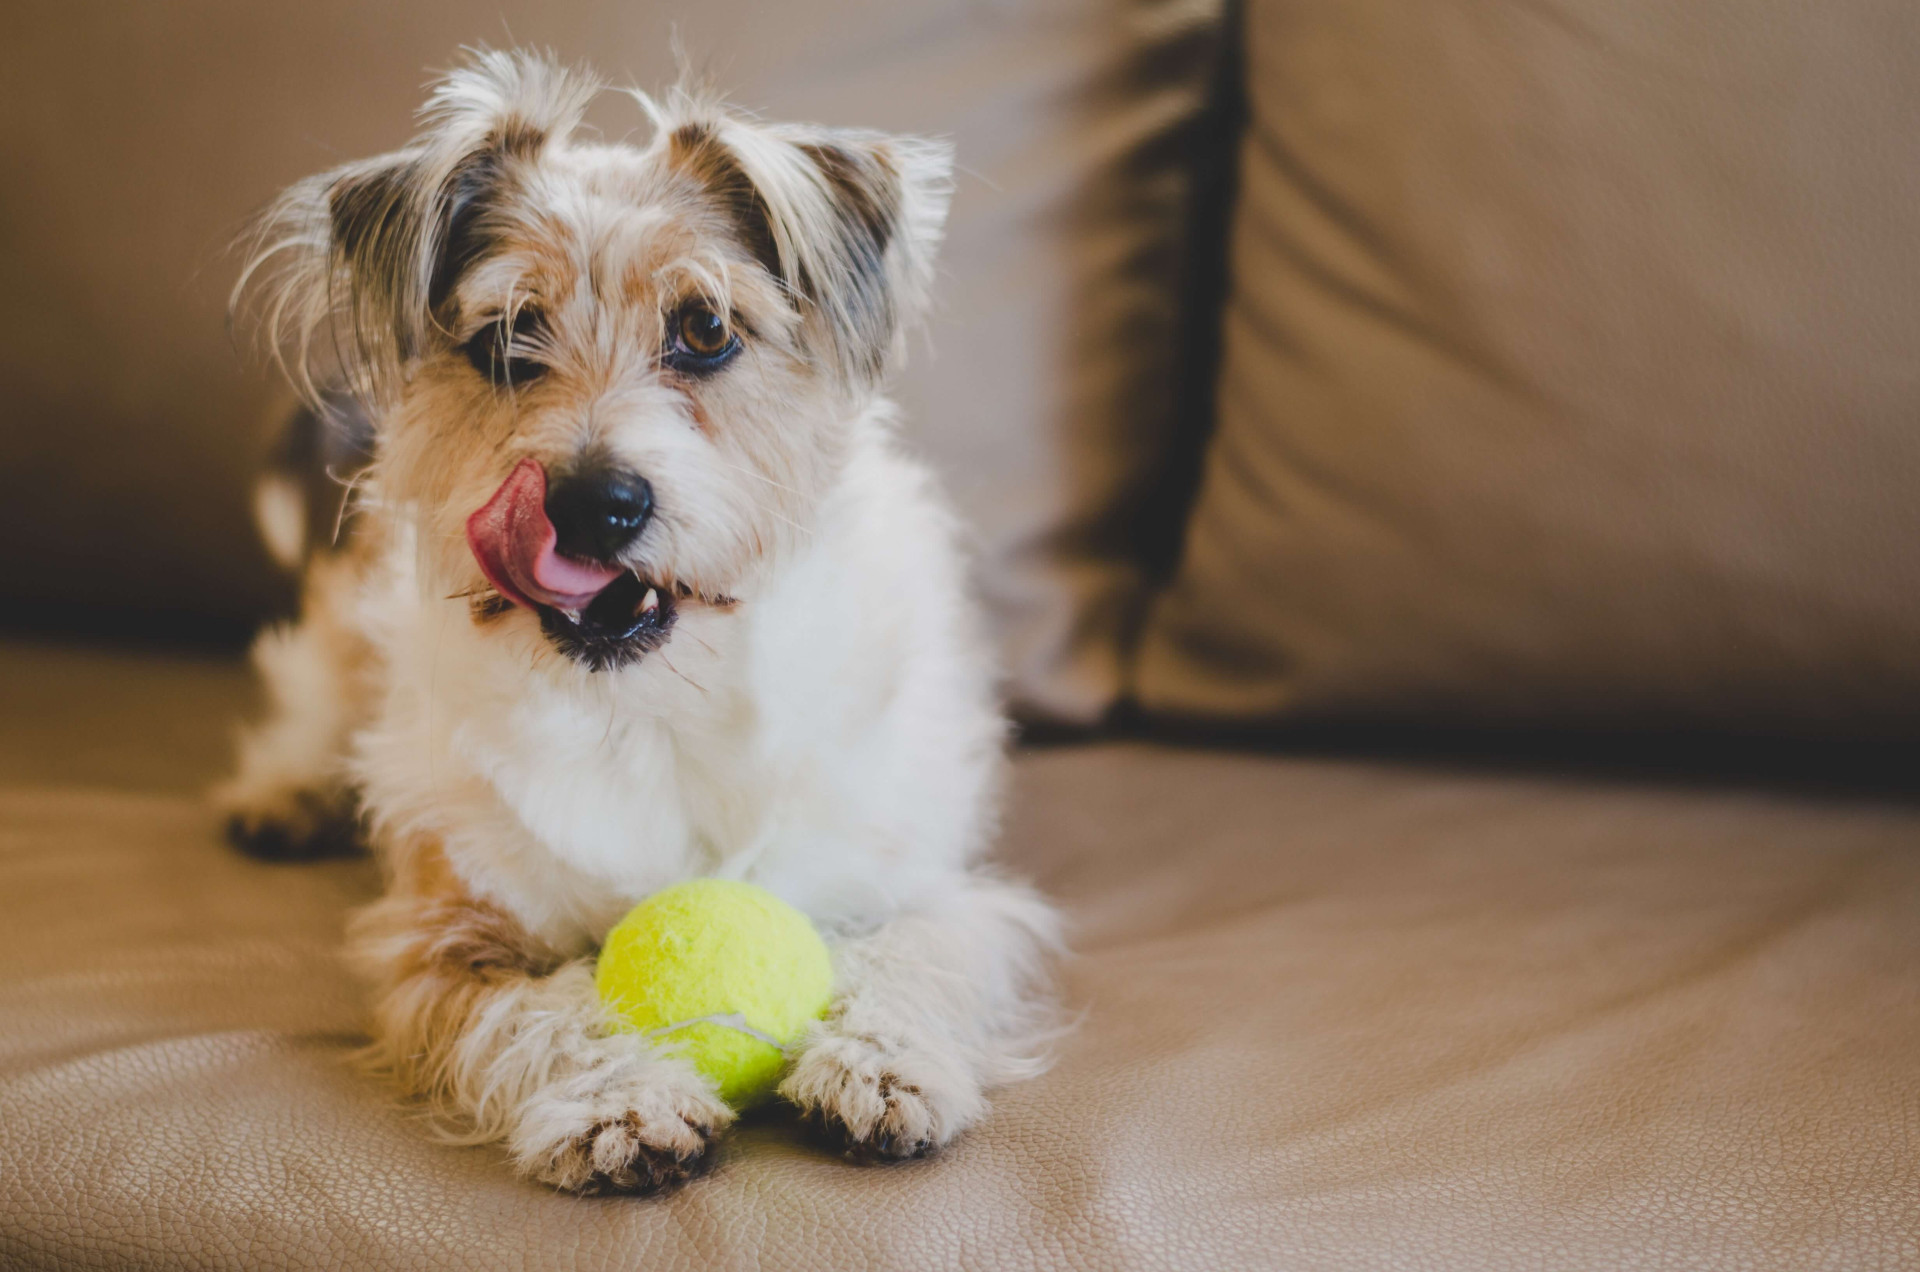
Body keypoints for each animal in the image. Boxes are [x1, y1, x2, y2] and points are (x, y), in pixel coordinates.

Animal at [222, 49, 1067, 1198]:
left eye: (705, 329)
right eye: (506, 339)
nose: (593, 505)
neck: (652, 707)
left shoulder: (936, 890)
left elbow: (919, 952)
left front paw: (882, 1061)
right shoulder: (438, 938)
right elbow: (536, 1011)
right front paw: (619, 1100)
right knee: (309, 692)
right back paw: (284, 791)